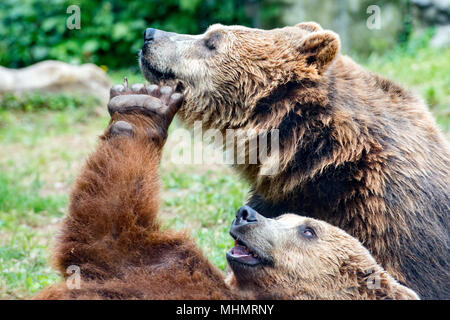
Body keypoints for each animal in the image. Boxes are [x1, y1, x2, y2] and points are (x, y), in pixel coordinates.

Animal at [35, 85, 418, 300]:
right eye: (282, 215)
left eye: (308, 230)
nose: (245, 214)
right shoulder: (162, 266)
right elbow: (108, 235)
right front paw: (143, 105)